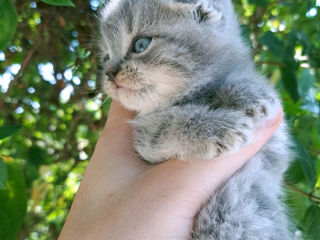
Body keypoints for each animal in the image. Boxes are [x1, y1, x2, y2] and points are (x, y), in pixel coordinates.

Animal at [99, 0, 294, 239]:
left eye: (141, 44)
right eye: (105, 57)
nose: (109, 73)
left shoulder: (274, 152)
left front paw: (248, 93)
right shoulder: (144, 139)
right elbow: (167, 125)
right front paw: (218, 128)